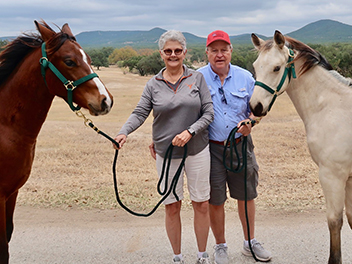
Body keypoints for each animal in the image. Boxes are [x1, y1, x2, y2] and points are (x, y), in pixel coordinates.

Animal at [0, 20, 113, 262]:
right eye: (69, 61)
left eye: (90, 59)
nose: (106, 100)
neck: (6, 127)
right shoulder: (0, 195)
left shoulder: (12, 193)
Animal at [250, 29, 352, 262]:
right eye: (255, 66)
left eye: (276, 68)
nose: (255, 106)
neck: (332, 107)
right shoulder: (349, 178)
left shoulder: (332, 176)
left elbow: (335, 222)